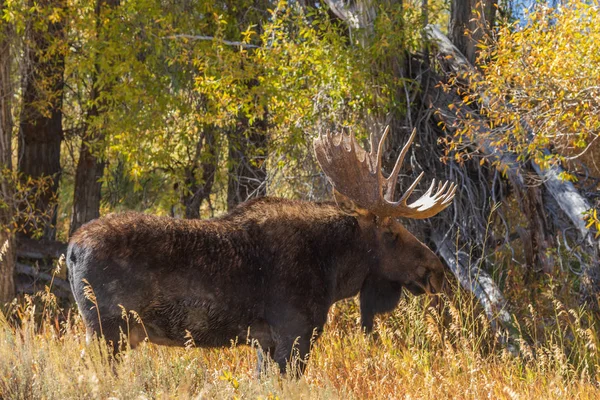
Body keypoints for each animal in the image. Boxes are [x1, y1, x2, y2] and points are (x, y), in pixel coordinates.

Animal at [68, 128, 454, 376]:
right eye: (391, 233)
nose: (436, 270)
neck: (333, 271)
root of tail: (70, 249)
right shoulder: (294, 332)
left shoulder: (264, 342)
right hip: (107, 329)